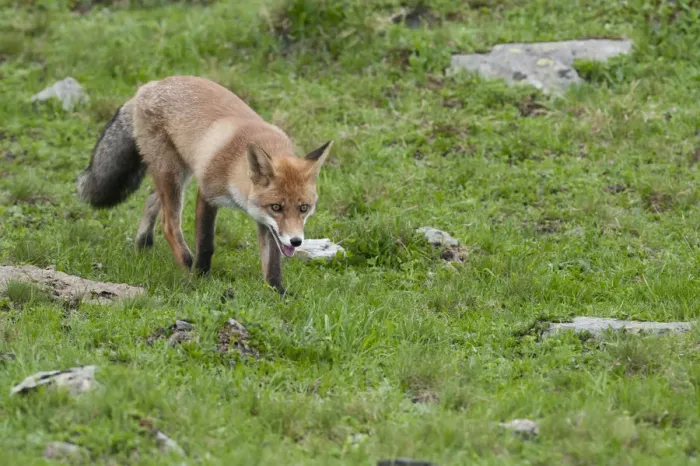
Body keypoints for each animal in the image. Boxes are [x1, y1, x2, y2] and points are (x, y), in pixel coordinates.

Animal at [76, 75, 333, 295]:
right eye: (277, 207)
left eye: (304, 208)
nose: (296, 241)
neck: (235, 168)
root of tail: (150, 85)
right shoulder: (208, 194)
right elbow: (207, 243)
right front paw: (201, 277)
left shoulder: (264, 221)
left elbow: (272, 263)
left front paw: (278, 292)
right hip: (173, 174)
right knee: (169, 224)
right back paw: (186, 264)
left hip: (180, 172)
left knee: (150, 200)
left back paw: (144, 246)